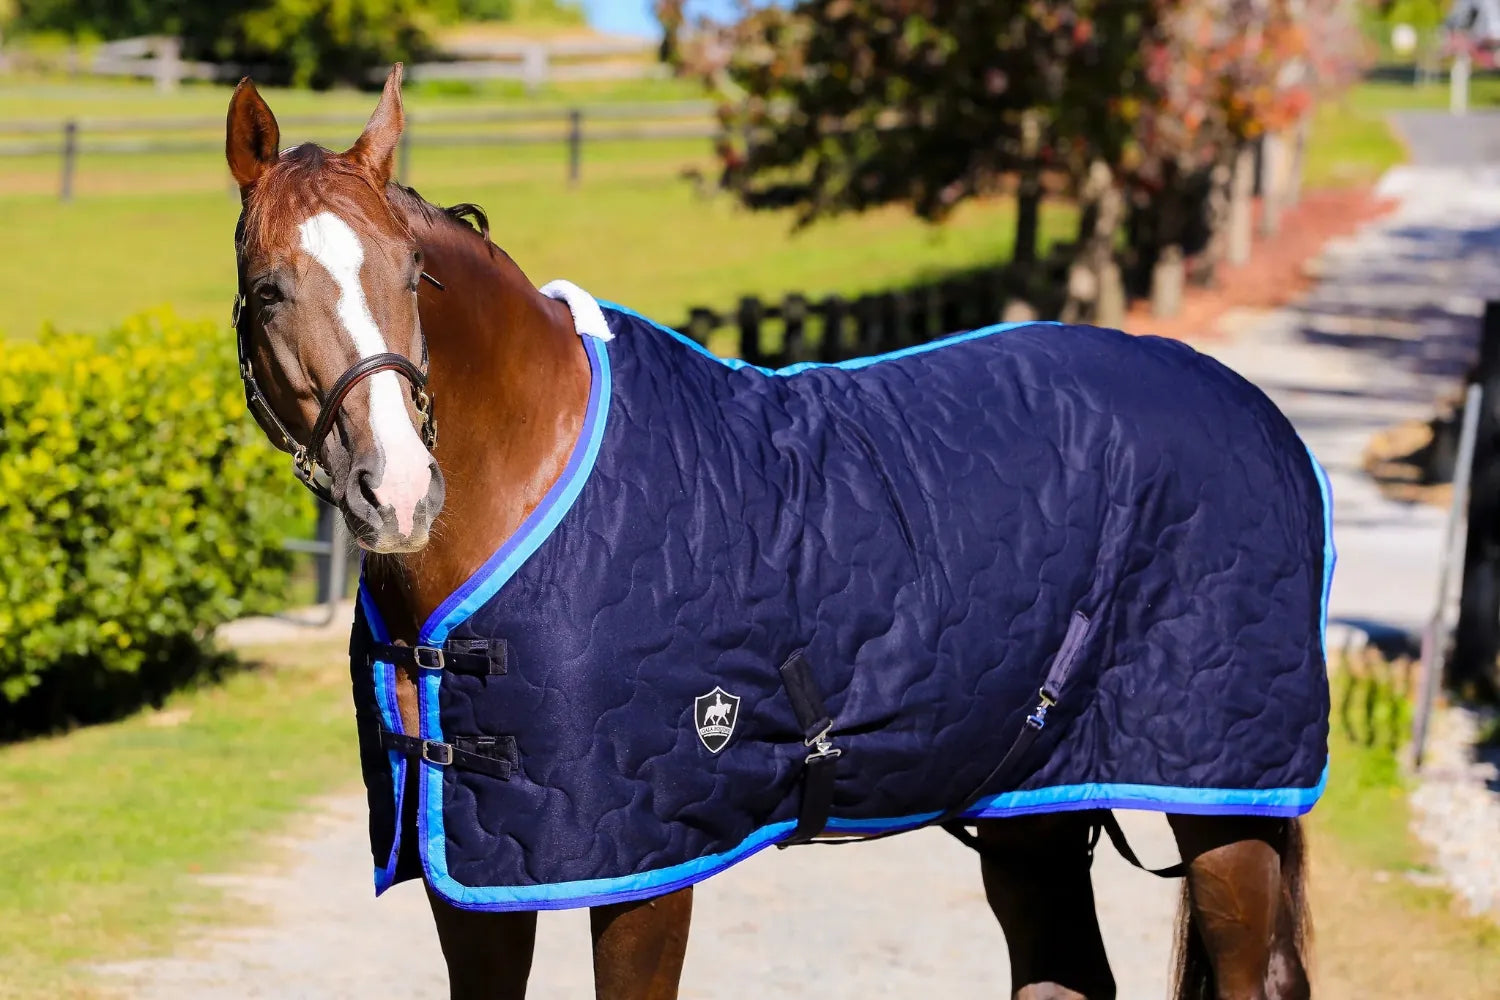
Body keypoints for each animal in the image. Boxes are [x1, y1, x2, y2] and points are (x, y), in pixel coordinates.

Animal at [224, 66, 1326, 1000]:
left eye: (414, 274)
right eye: (270, 289)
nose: (400, 490)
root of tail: (1258, 414)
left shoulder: (649, 860)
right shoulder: (474, 857)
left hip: (1225, 802)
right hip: (1035, 797)